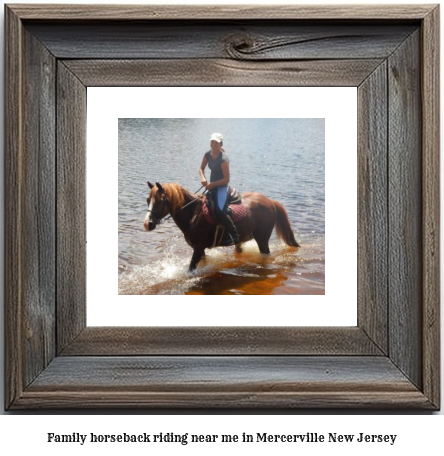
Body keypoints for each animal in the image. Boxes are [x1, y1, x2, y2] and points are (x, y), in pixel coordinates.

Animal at [144, 182, 300, 270]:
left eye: (160, 201)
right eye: (147, 200)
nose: (147, 224)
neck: (193, 213)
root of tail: (270, 201)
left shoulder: (198, 248)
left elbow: (191, 268)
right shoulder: (200, 249)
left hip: (262, 239)